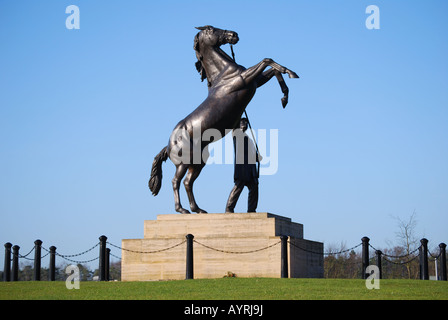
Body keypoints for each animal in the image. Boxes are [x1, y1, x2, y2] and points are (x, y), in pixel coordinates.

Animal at [149, 26, 300, 214]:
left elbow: (273, 71)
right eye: (211, 29)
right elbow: (267, 60)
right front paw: (292, 74)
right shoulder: (245, 79)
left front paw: (285, 97)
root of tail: (169, 145)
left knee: (188, 182)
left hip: (198, 162)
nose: (234, 34)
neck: (223, 73)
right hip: (183, 162)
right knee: (175, 181)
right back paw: (182, 210)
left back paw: (198, 210)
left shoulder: (255, 82)